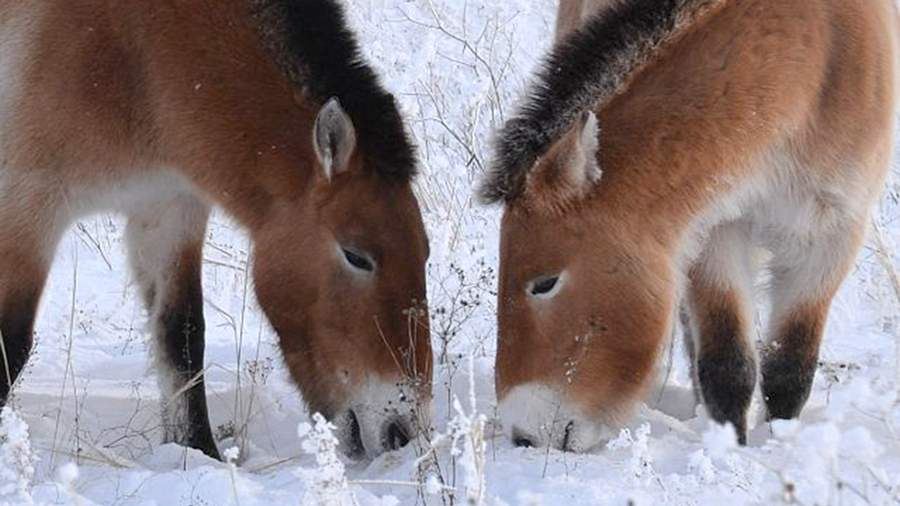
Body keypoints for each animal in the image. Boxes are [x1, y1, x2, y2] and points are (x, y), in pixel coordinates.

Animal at [0, 0, 432, 458]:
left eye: (424, 252)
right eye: (356, 256)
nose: (402, 432)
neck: (137, 53)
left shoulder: (168, 209)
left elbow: (182, 336)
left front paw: (197, 451)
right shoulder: (28, 206)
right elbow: (12, 341)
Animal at [482, 0, 896, 450]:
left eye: (544, 283)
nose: (523, 434)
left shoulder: (831, 238)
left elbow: (790, 370)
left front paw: (776, 441)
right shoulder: (714, 230)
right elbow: (726, 363)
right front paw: (730, 445)